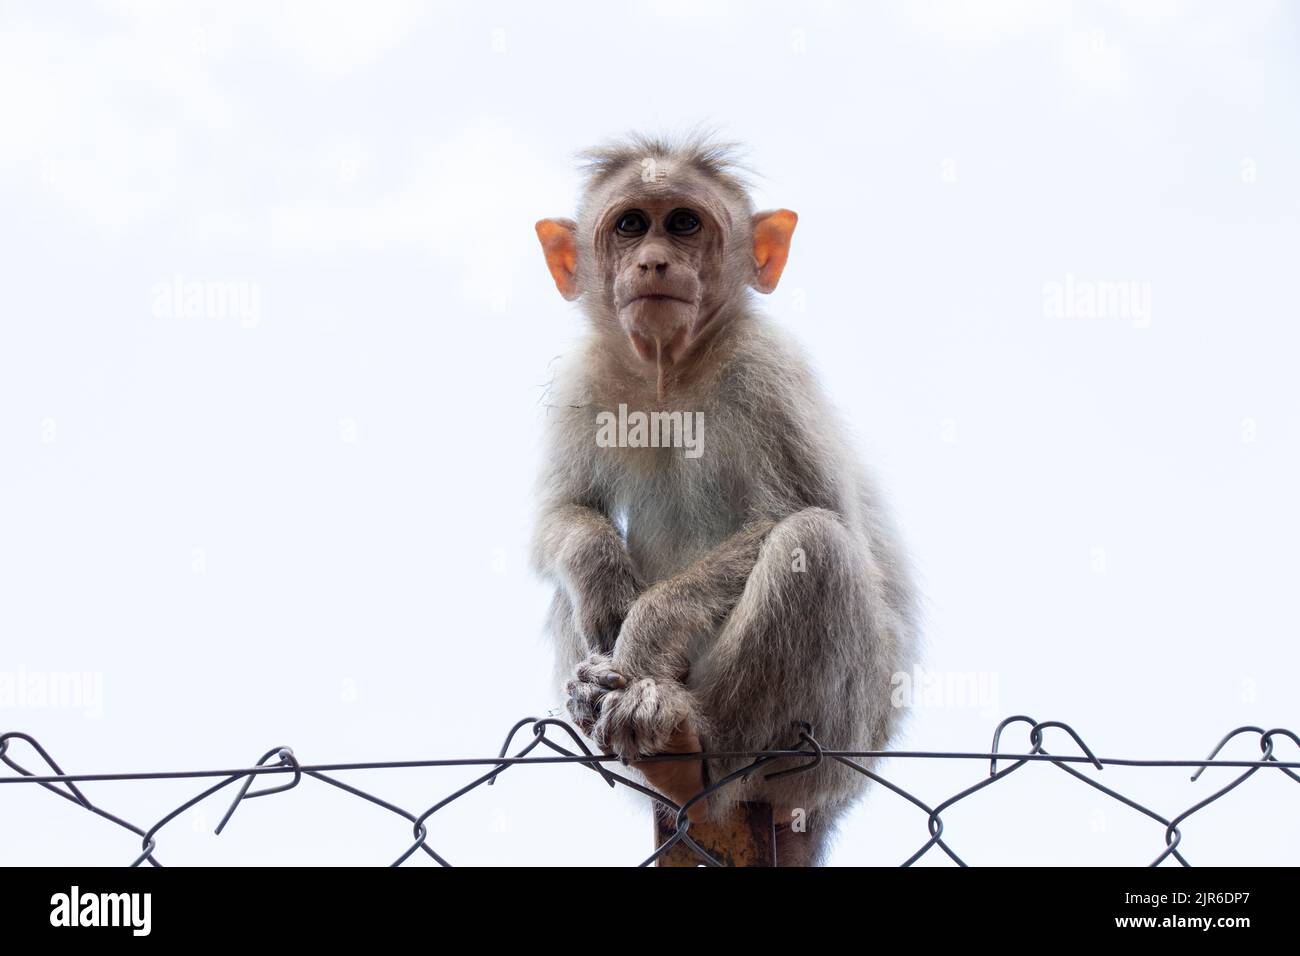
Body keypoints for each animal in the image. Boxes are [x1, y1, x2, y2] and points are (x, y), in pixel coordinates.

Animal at [533, 128, 920, 868]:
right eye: (631, 226)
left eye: (685, 224)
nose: (654, 261)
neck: (670, 376)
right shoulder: (582, 375)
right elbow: (563, 518)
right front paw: (600, 571)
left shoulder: (764, 366)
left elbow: (810, 513)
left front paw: (647, 627)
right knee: (570, 587)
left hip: (839, 745)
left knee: (815, 545)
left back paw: (688, 754)